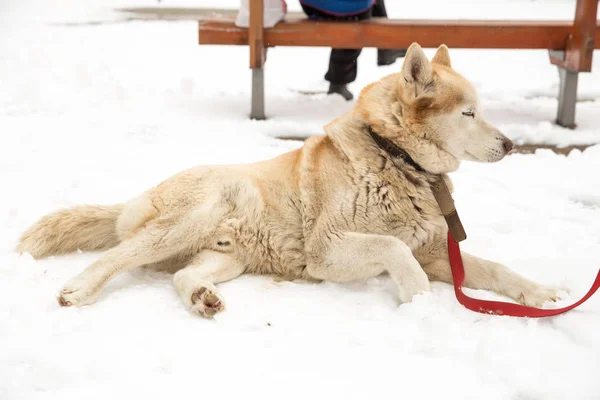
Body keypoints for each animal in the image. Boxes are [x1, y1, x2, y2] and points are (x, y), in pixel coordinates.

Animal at [19, 43, 564, 318]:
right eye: (469, 113)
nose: (511, 145)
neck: (395, 158)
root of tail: (139, 195)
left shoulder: (435, 250)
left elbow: (495, 269)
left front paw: (540, 294)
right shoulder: (328, 249)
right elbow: (395, 250)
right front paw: (419, 302)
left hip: (226, 256)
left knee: (182, 276)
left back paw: (202, 299)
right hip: (190, 218)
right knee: (116, 255)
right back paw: (79, 289)